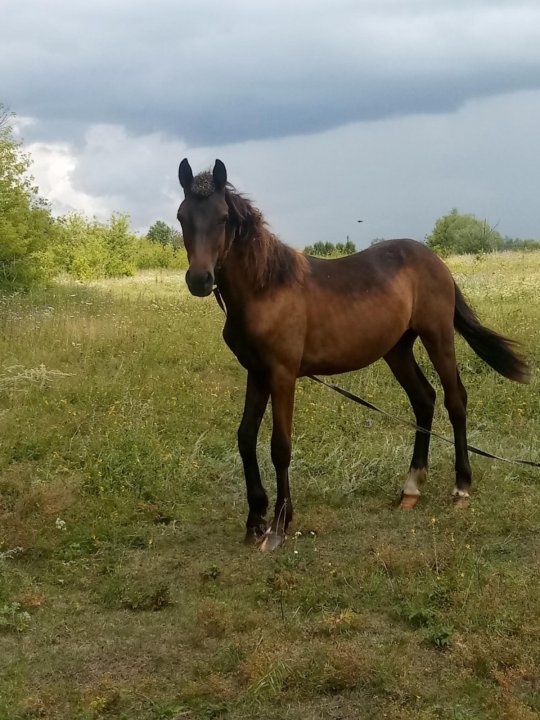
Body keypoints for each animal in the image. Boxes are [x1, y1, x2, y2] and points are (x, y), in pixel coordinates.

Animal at [176, 159, 528, 552]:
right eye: (181, 216)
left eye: (223, 217)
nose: (200, 280)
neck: (265, 287)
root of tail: (437, 262)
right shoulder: (256, 372)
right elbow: (245, 437)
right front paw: (255, 521)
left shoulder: (281, 374)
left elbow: (279, 445)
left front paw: (279, 526)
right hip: (397, 349)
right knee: (424, 399)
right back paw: (411, 488)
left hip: (437, 336)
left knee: (455, 400)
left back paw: (461, 488)